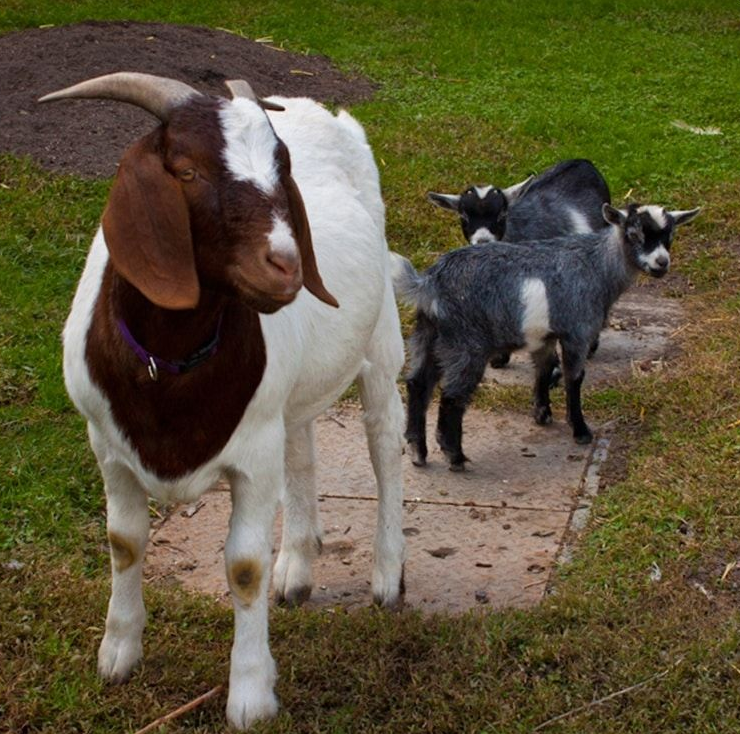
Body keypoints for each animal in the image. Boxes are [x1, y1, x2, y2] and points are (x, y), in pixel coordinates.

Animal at [40, 72, 405, 730]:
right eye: (186, 170)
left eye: (283, 167)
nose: (286, 265)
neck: (170, 366)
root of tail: (319, 110)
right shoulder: (107, 448)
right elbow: (124, 541)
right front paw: (117, 655)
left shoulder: (252, 456)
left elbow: (243, 566)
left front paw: (251, 696)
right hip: (293, 392)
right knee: (303, 445)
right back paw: (298, 566)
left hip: (380, 340)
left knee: (386, 440)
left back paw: (388, 573)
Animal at [392, 203, 699, 471]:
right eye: (634, 234)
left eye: (670, 235)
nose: (661, 263)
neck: (597, 266)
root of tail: (429, 283)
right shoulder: (578, 332)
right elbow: (574, 378)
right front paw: (580, 429)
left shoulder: (545, 336)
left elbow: (543, 368)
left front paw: (542, 413)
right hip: (466, 344)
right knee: (452, 397)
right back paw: (454, 456)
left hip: (427, 335)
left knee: (418, 385)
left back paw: (418, 450)